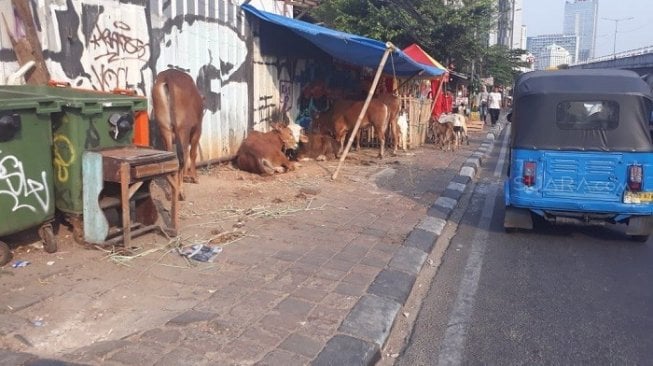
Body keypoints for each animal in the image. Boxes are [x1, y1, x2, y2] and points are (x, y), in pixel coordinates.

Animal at [153, 68, 204, 200]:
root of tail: (168, 75)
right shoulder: (197, 130)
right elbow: (192, 154)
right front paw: (194, 177)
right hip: (183, 130)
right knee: (183, 156)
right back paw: (180, 191)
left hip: (164, 128)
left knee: (171, 158)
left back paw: (172, 190)